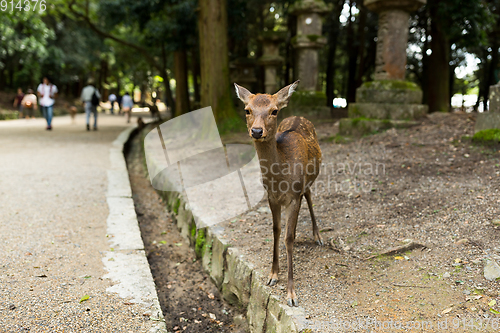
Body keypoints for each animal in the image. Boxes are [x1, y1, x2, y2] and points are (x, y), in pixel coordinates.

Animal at [232, 80, 322, 306]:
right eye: (247, 110)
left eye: (274, 111)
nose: (256, 131)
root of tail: (297, 116)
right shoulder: (271, 197)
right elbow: (276, 230)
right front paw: (273, 275)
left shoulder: (294, 197)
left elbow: (289, 237)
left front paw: (291, 294)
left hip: (308, 181)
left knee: (309, 196)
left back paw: (318, 235)